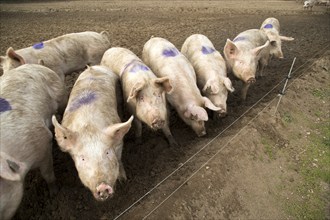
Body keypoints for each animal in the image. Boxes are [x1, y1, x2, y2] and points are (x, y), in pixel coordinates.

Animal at [51, 65, 133, 201]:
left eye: (107, 152)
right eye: (83, 158)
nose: (103, 187)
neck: (89, 127)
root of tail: (93, 67)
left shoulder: (118, 141)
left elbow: (119, 159)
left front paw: (123, 180)